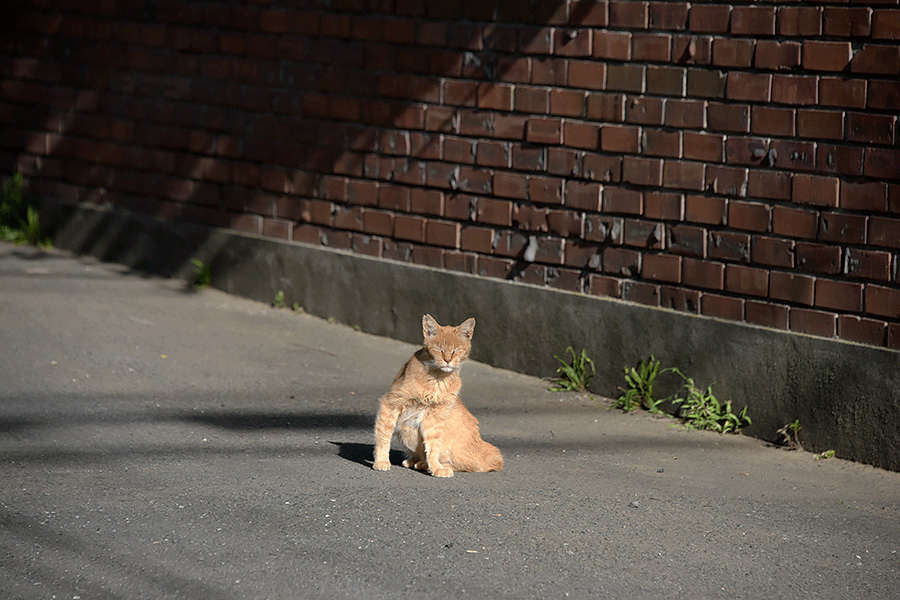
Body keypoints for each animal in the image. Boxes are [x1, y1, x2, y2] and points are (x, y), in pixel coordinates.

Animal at [370, 314, 502, 478]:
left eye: (456, 350)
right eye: (439, 349)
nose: (447, 360)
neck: (438, 379)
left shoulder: (435, 416)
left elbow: (433, 446)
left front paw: (435, 467)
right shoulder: (391, 404)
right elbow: (383, 435)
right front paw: (381, 461)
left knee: (470, 465)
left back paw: (425, 464)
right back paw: (416, 462)